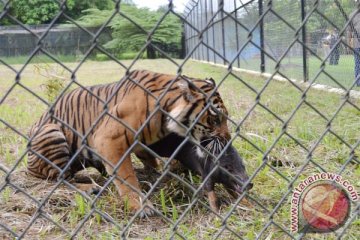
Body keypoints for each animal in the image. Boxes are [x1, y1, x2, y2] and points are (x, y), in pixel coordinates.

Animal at [27, 69, 231, 216]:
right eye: (215, 119)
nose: (227, 140)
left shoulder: (140, 144)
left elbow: (150, 162)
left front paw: (157, 175)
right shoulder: (109, 138)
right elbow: (126, 177)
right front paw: (141, 206)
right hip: (52, 131)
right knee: (58, 179)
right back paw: (89, 187)